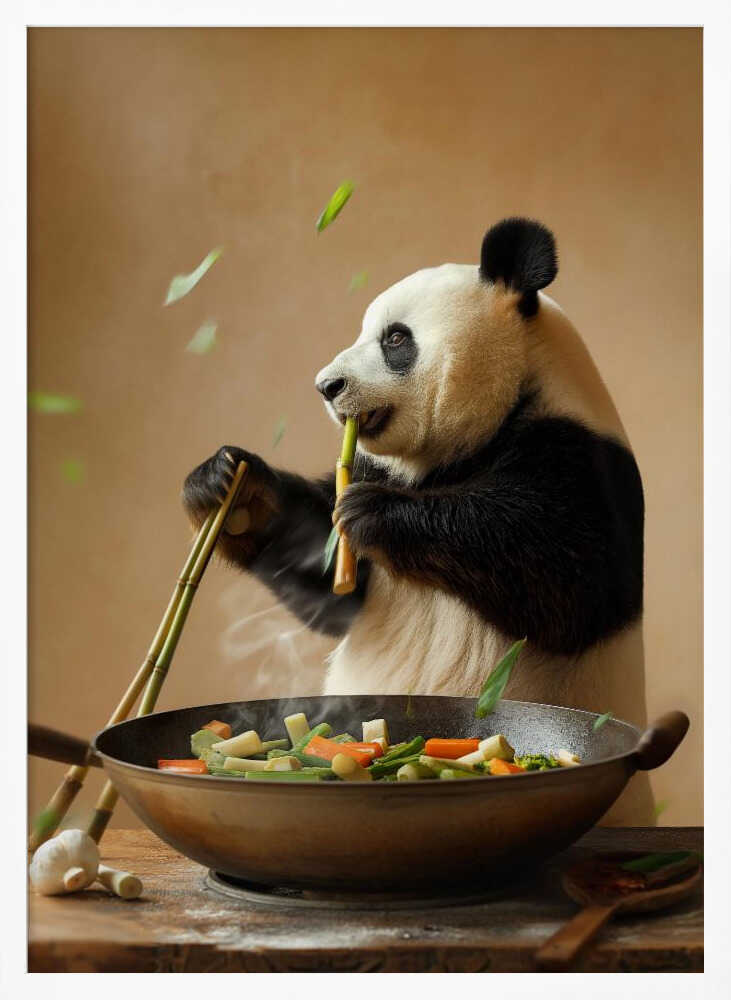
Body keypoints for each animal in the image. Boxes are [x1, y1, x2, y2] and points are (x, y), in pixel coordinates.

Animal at [183, 218, 654, 825]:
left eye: (395, 339)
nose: (327, 386)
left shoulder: (582, 460)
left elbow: (564, 579)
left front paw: (374, 512)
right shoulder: (373, 464)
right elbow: (330, 582)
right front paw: (230, 487)